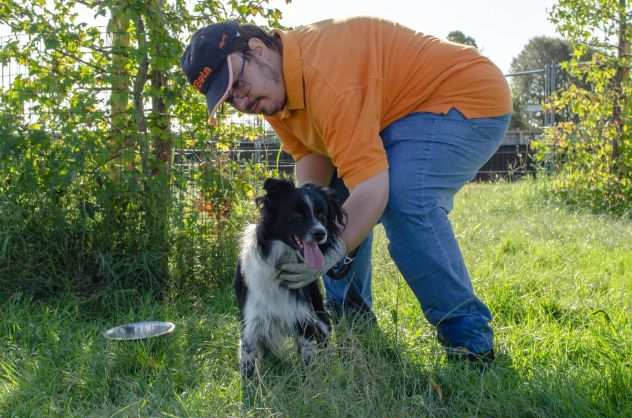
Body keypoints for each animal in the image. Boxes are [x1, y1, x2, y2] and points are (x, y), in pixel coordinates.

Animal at [233, 178, 346, 378]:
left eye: (322, 215)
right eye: (297, 214)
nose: (321, 233)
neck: (280, 260)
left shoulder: (303, 318)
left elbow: (308, 358)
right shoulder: (251, 321)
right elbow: (248, 362)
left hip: (319, 313)